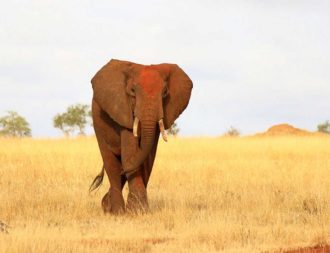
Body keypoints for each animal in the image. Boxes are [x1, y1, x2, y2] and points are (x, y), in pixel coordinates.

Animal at [89, 59, 193, 213]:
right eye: (132, 91)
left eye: (165, 93)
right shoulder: (123, 110)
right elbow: (130, 151)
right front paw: (136, 211)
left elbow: (147, 156)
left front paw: (138, 210)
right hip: (98, 123)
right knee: (110, 162)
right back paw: (116, 211)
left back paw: (108, 206)